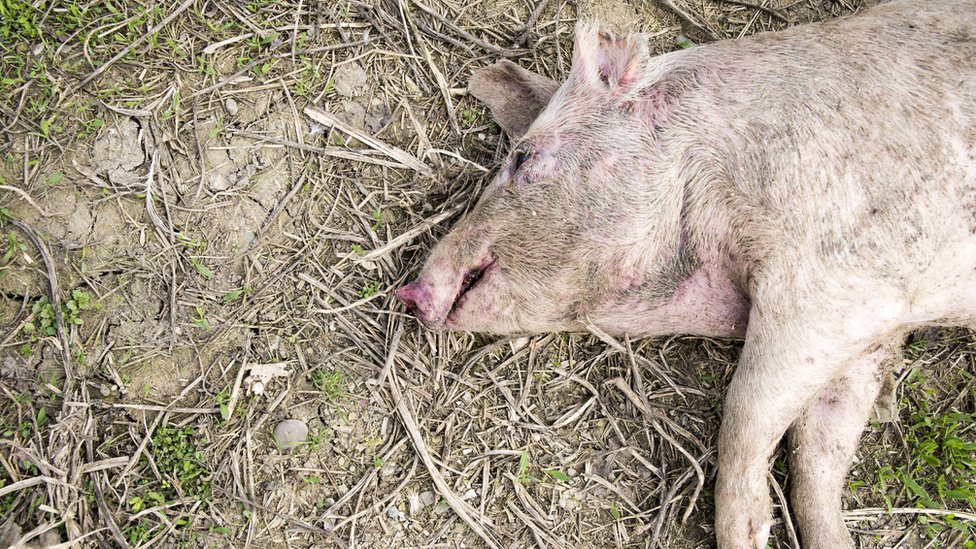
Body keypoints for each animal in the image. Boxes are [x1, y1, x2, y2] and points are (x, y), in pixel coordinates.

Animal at [396, 1, 976, 547]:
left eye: (522, 157)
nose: (409, 292)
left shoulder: (829, 286)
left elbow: (746, 409)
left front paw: (747, 533)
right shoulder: (877, 333)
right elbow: (819, 445)